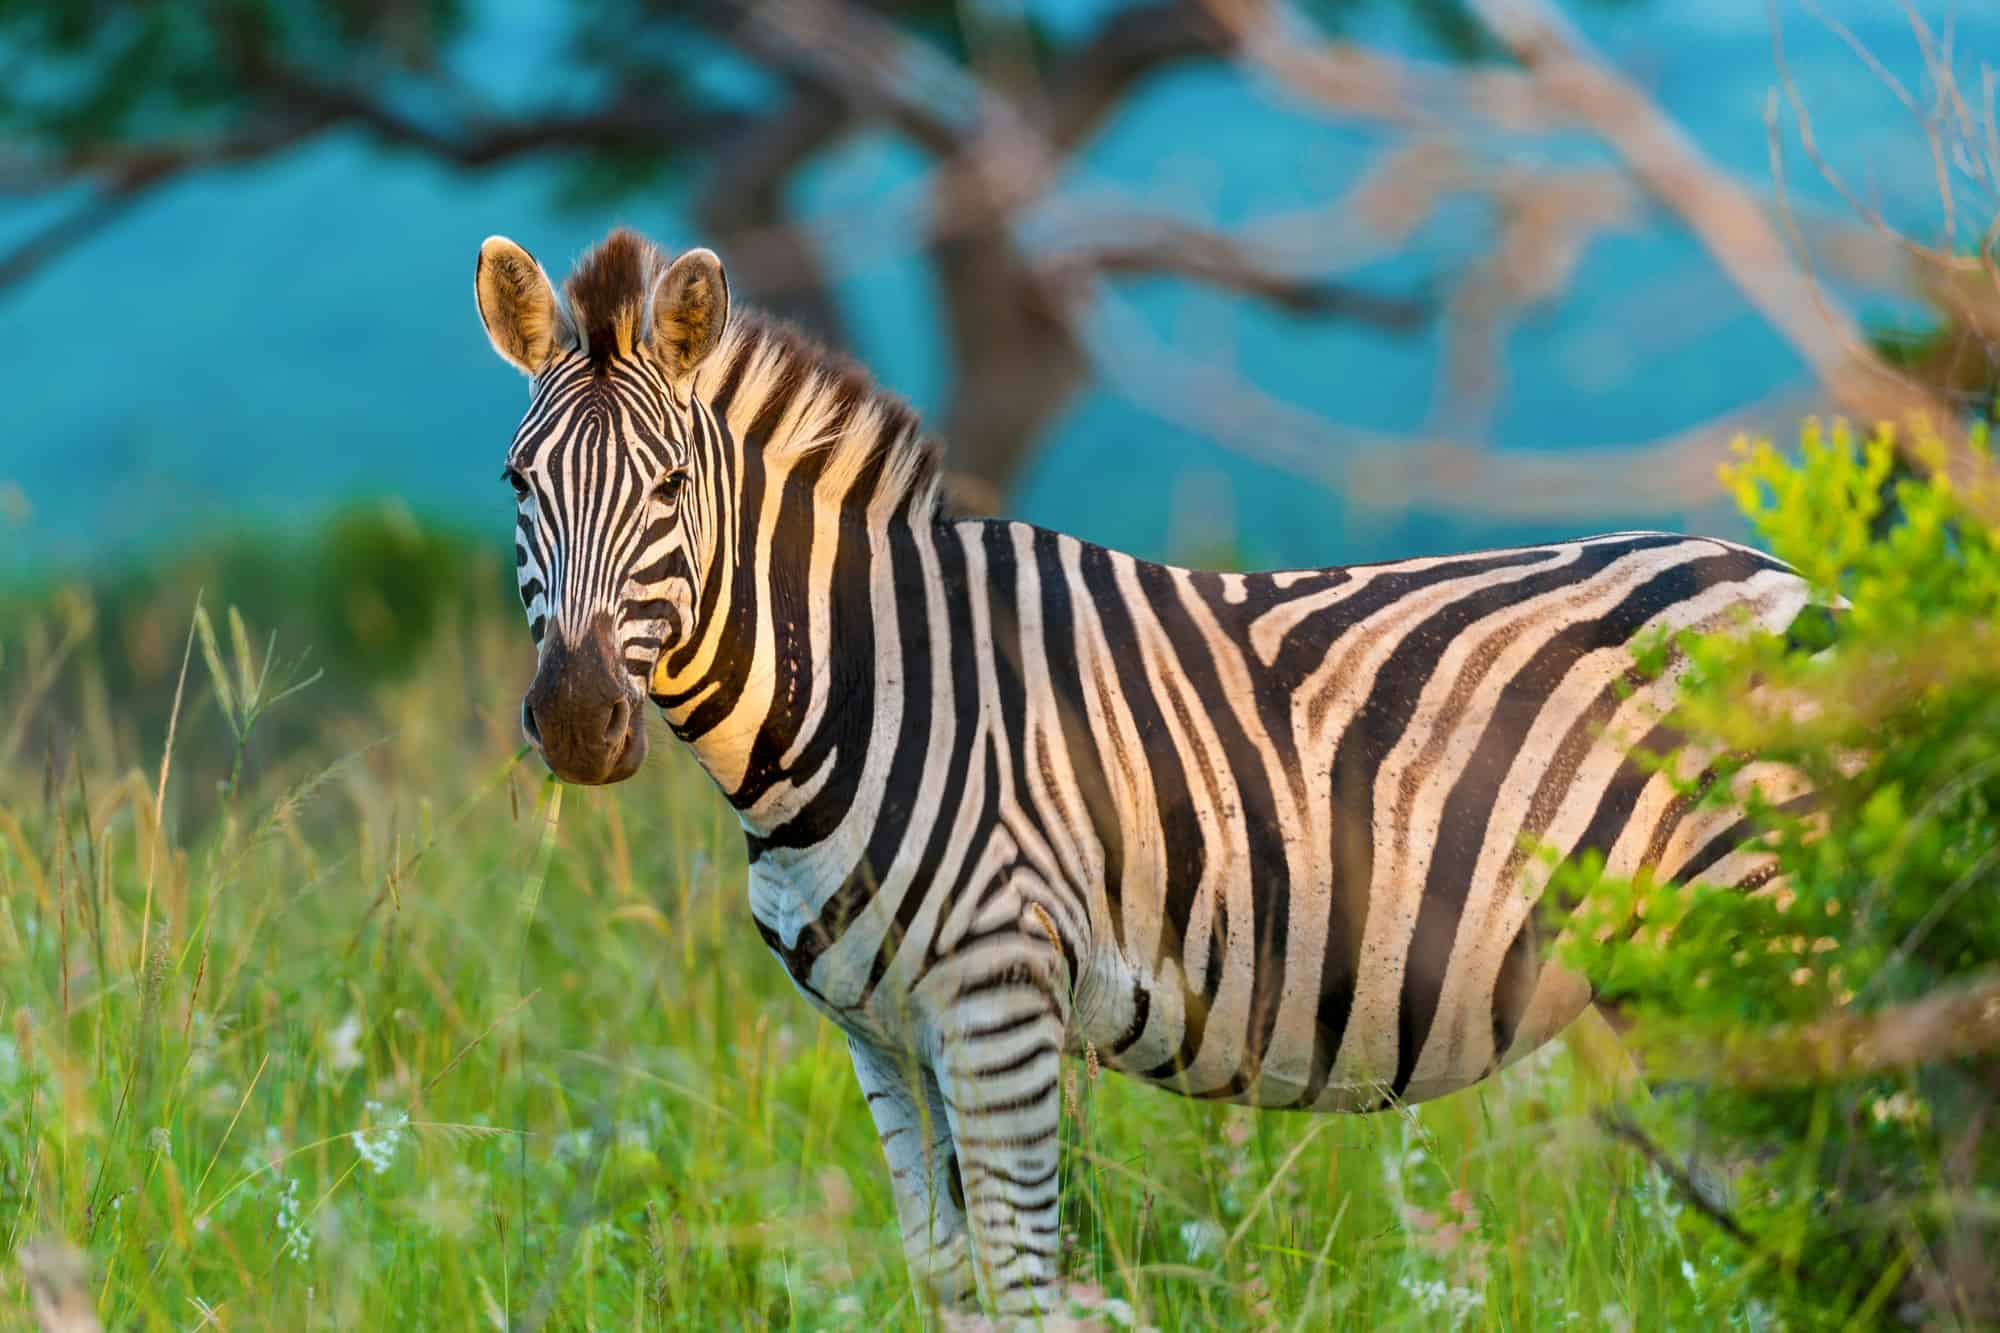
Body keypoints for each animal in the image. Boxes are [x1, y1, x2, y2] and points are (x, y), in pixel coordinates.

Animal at [472, 226, 1816, 1304]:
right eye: (517, 482)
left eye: (670, 486)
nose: (580, 719)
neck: (861, 686)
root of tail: (1799, 579)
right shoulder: (881, 1032)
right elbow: (945, 1275)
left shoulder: (1001, 995)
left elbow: (1023, 1278)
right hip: (1679, 982)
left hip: (1773, 943)